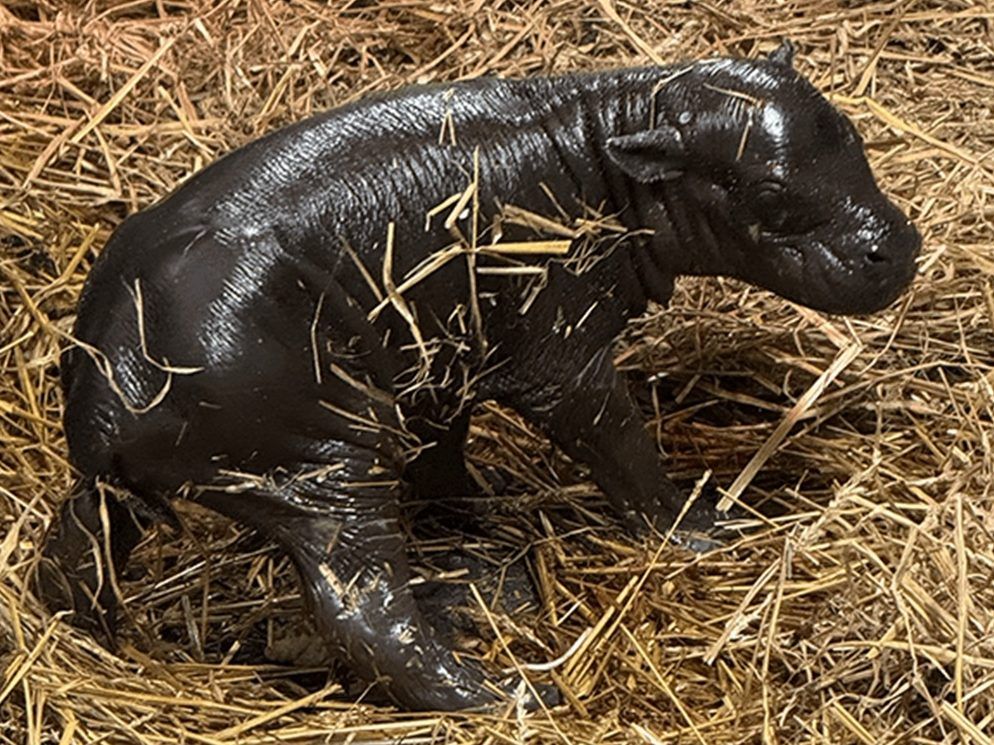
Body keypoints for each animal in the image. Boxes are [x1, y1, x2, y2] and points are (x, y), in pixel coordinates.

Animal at [37, 41, 920, 711]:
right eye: (766, 189)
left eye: (850, 131)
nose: (899, 247)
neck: (608, 142)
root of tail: (107, 394)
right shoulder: (559, 358)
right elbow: (621, 445)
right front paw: (702, 528)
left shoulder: (442, 359)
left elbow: (444, 455)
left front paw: (485, 519)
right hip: (325, 470)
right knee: (365, 614)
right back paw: (510, 693)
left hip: (155, 483)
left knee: (77, 545)